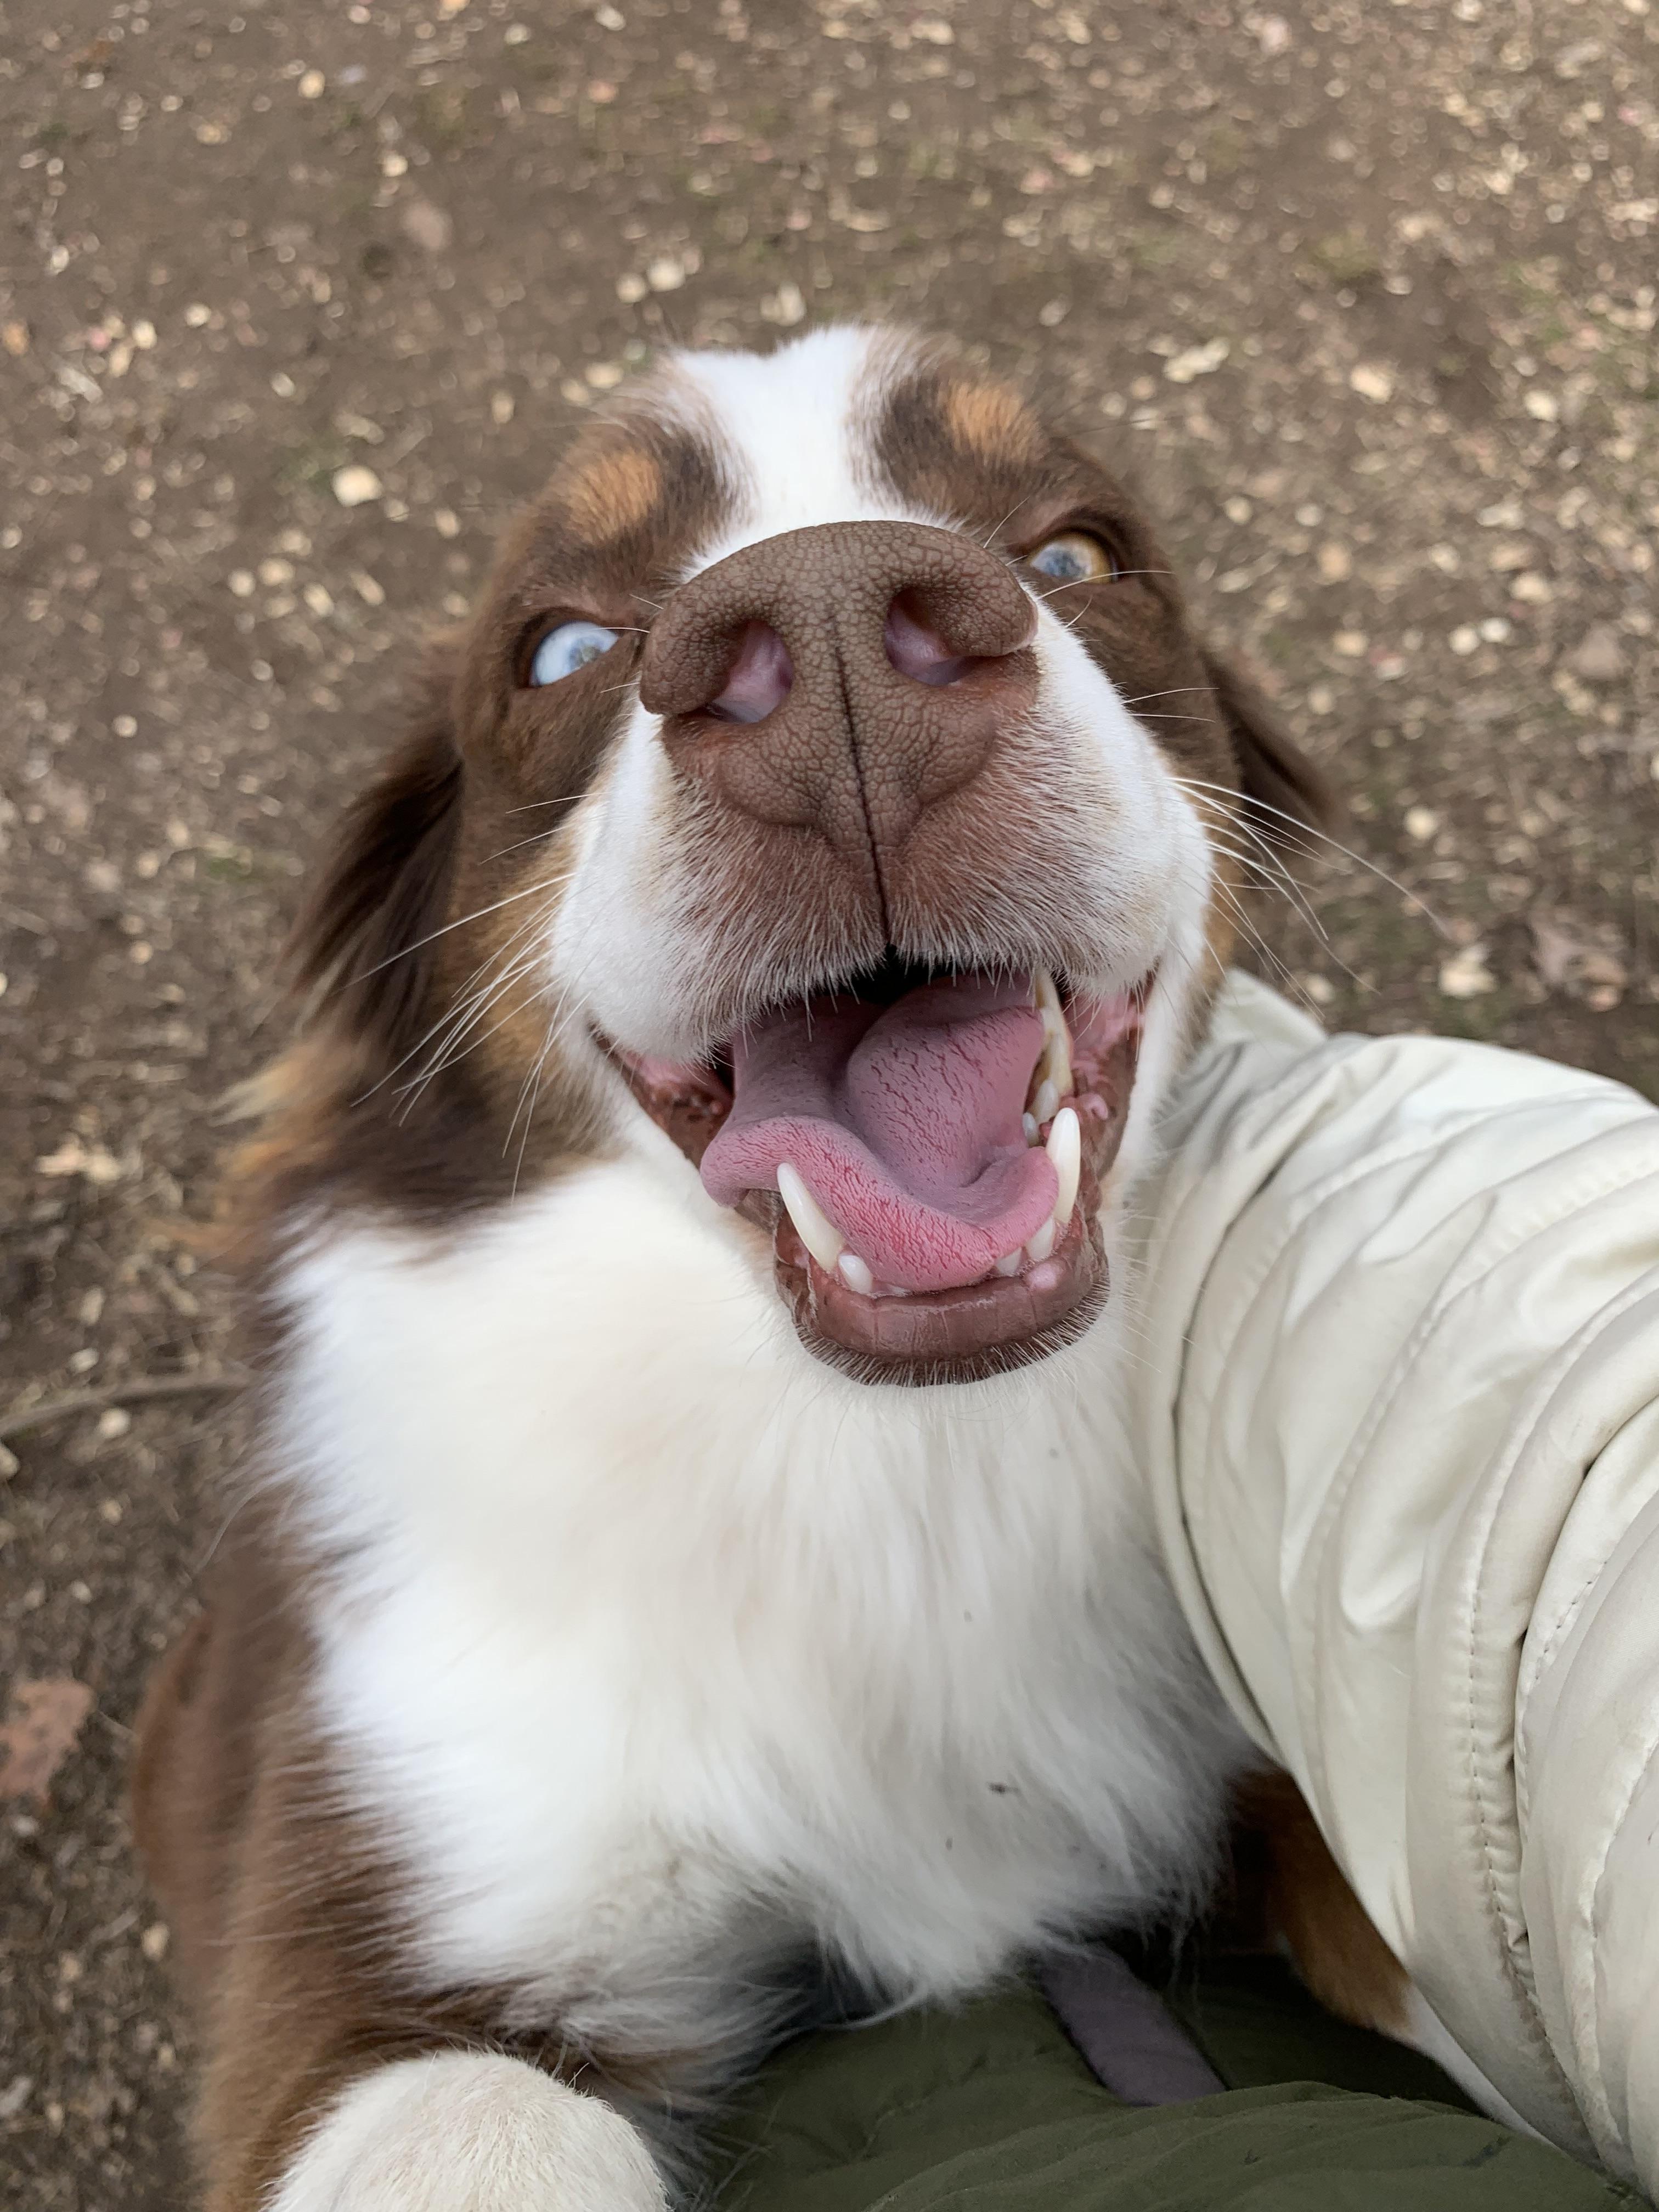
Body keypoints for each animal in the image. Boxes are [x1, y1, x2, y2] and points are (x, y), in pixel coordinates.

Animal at [134, 325, 1346, 2211]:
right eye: (562, 646)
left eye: (1078, 551)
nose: (845, 645)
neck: (904, 1472)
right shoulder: (406, 1886)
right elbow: (478, 2117)